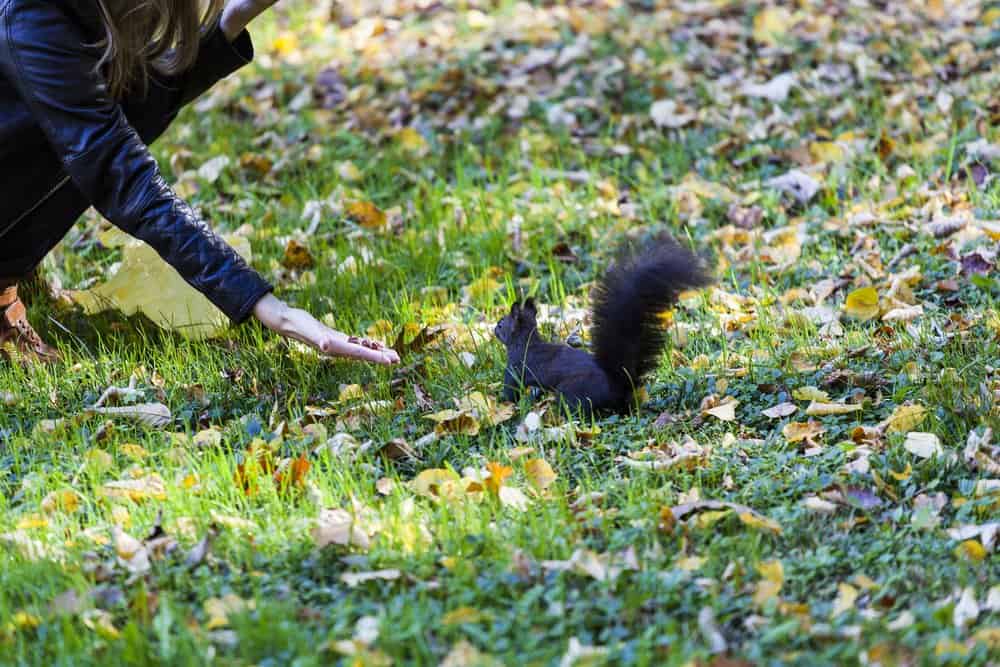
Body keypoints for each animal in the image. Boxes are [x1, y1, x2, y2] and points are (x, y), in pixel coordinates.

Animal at [492, 237, 712, 414]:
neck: (525, 342)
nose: (494, 329)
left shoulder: (514, 370)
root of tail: (617, 387)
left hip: (571, 392)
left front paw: (502, 401)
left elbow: (510, 392)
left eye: (502, 324)